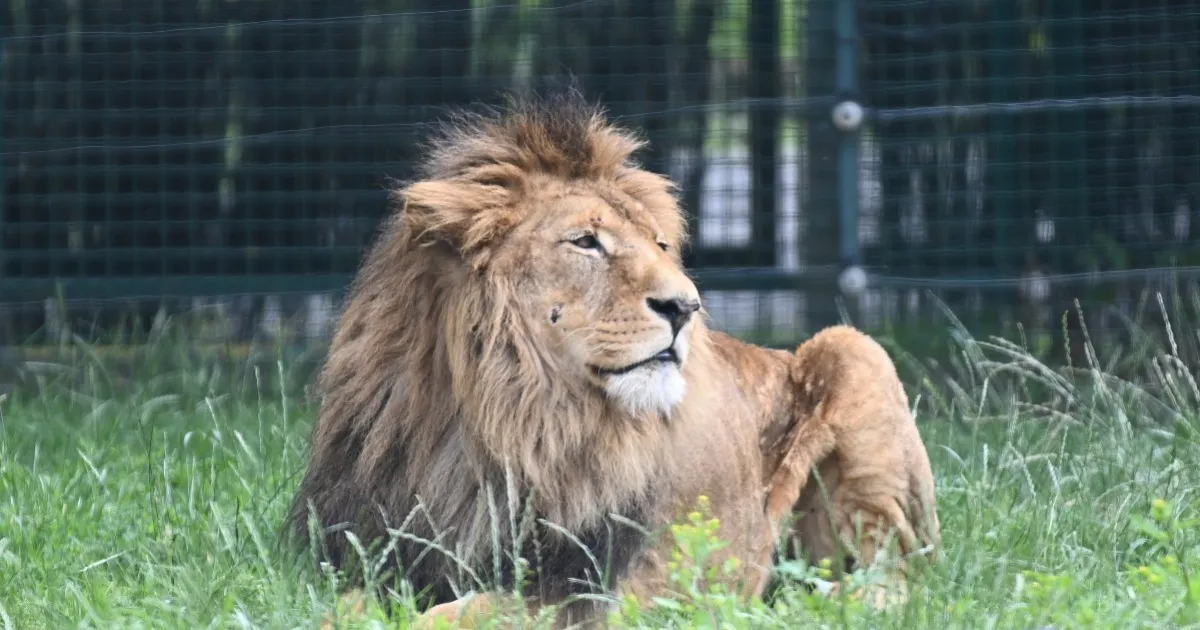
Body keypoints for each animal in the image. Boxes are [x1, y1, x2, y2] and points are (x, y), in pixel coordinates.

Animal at [286, 87, 940, 629]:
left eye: (660, 245)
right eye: (585, 242)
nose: (686, 307)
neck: (495, 421)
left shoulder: (594, 592)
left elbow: (464, 613)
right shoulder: (365, 553)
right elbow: (340, 604)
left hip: (856, 353)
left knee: (897, 579)